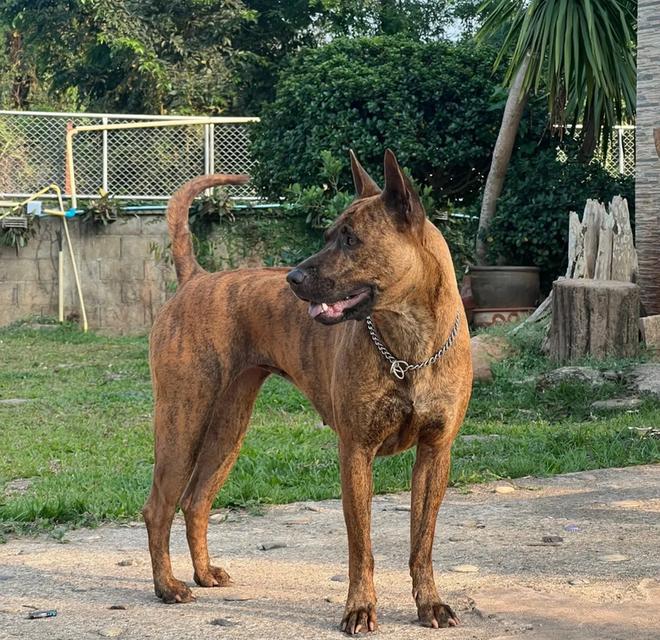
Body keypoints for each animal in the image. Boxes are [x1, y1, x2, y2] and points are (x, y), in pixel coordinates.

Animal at [145, 151, 474, 636]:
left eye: (351, 240)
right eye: (328, 235)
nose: (294, 278)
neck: (409, 345)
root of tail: (194, 278)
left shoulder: (435, 453)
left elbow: (422, 543)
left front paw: (429, 603)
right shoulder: (355, 452)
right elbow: (362, 548)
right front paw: (359, 609)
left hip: (228, 429)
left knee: (196, 501)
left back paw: (204, 573)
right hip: (182, 422)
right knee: (159, 508)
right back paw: (167, 587)